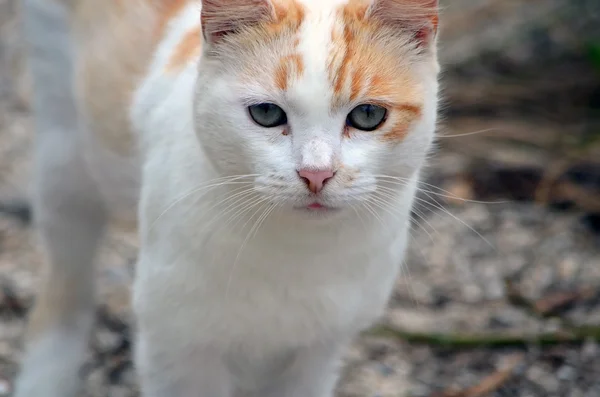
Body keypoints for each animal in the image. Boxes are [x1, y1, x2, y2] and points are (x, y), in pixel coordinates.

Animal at [16, 0, 438, 394]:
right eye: (266, 113)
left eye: (367, 115)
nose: (316, 173)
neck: (297, 254)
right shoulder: (175, 348)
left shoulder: (317, 351)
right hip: (64, 156)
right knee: (65, 291)